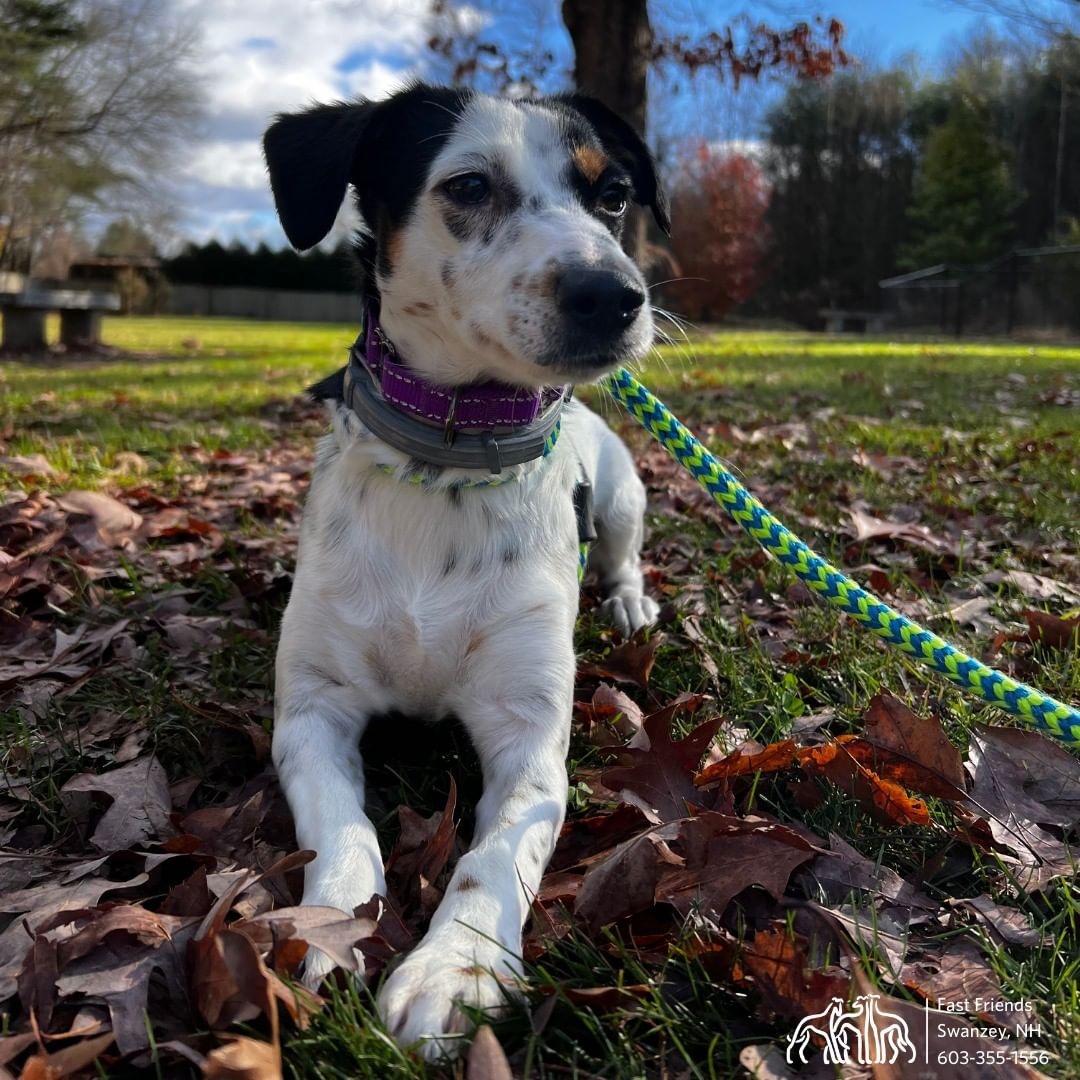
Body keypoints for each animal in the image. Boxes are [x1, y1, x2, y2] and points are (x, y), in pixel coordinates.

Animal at [263, 82, 665, 1054]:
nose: (616, 296)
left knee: (627, 559)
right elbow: (344, 827)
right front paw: (332, 929)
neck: (448, 461)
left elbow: (495, 853)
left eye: (613, 195)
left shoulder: (530, 737)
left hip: (625, 494)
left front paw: (459, 969)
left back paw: (630, 606)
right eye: (470, 184)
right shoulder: (313, 712)